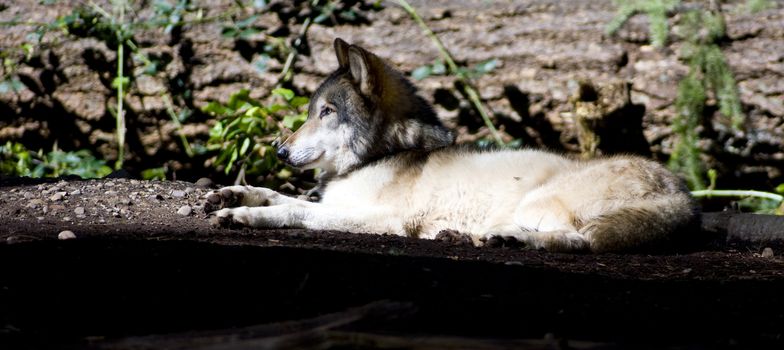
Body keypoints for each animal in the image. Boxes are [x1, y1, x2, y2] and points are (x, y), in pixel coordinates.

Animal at [204, 37, 700, 252]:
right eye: (310, 112)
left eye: (326, 112)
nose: (280, 152)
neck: (384, 153)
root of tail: (683, 194)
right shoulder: (334, 200)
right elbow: (281, 195)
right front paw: (233, 194)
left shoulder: (380, 219)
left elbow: (297, 212)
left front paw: (245, 216)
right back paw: (483, 236)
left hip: (539, 203)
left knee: (578, 241)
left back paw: (507, 239)